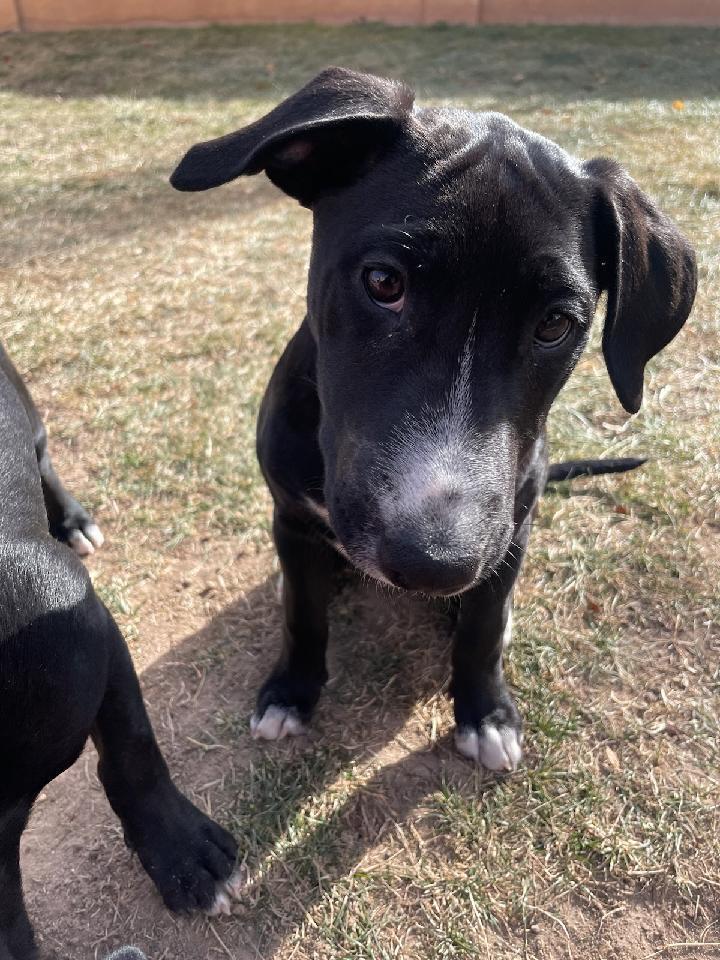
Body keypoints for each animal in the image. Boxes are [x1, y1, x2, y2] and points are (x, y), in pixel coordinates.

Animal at [172, 65, 696, 772]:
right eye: (383, 282)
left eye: (556, 324)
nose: (434, 564)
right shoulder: (292, 519)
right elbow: (302, 617)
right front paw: (290, 691)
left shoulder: (510, 537)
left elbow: (482, 629)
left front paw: (486, 713)